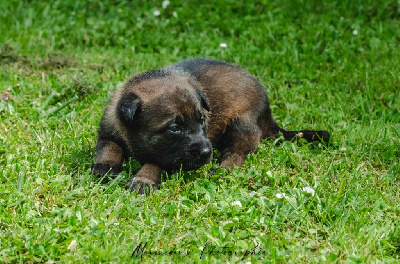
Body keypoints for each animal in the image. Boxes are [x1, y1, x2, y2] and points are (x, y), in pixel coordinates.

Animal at [91, 57, 332, 194]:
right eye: (174, 128)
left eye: (202, 120)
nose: (207, 152)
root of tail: (268, 114)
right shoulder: (109, 131)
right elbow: (109, 147)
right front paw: (104, 166)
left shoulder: (168, 156)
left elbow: (154, 162)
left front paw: (143, 179)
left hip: (241, 125)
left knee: (237, 153)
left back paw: (222, 168)